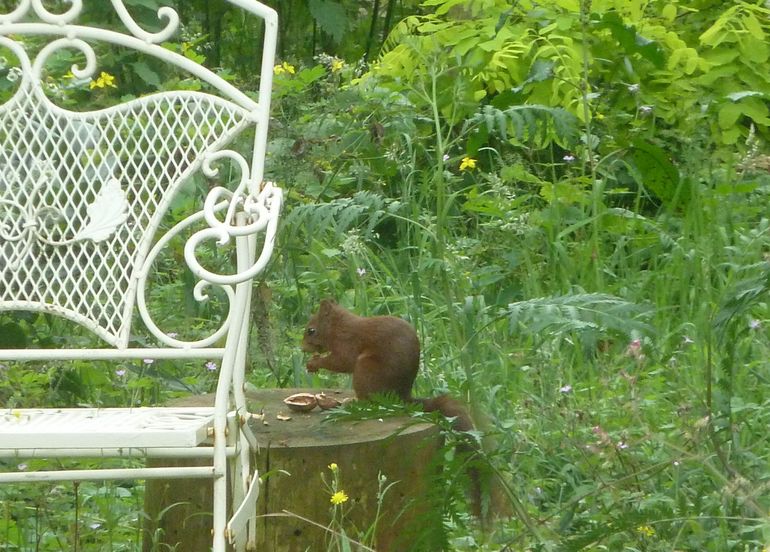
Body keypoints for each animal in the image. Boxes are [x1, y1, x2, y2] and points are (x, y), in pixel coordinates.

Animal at [302, 302, 476, 512]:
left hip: (366, 370)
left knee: (370, 400)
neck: (338, 327)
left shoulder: (347, 343)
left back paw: (353, 401)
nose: (302, 348)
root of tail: (402, 397)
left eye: (311, 330)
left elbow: (342, 361)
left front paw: (315, 362)